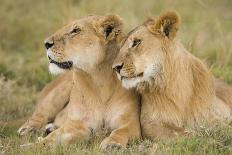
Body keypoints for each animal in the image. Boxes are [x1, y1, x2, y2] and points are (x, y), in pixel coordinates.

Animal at [19, 15, 140, 148]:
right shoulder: (76, 124)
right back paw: (27, 130)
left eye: (75, 30)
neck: (99, 79)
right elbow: (51, 139)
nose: (46, 43)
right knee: (39, 116)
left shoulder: (130, 122)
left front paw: (112, 144)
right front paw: (31, 147)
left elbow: (120, 132)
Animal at [112, 11, 230, 139]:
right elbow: (187, 134)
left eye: (136, 42)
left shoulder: (210, 116)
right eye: (120, 47)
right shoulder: (150, 123)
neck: (176, 87)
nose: (115, 67)